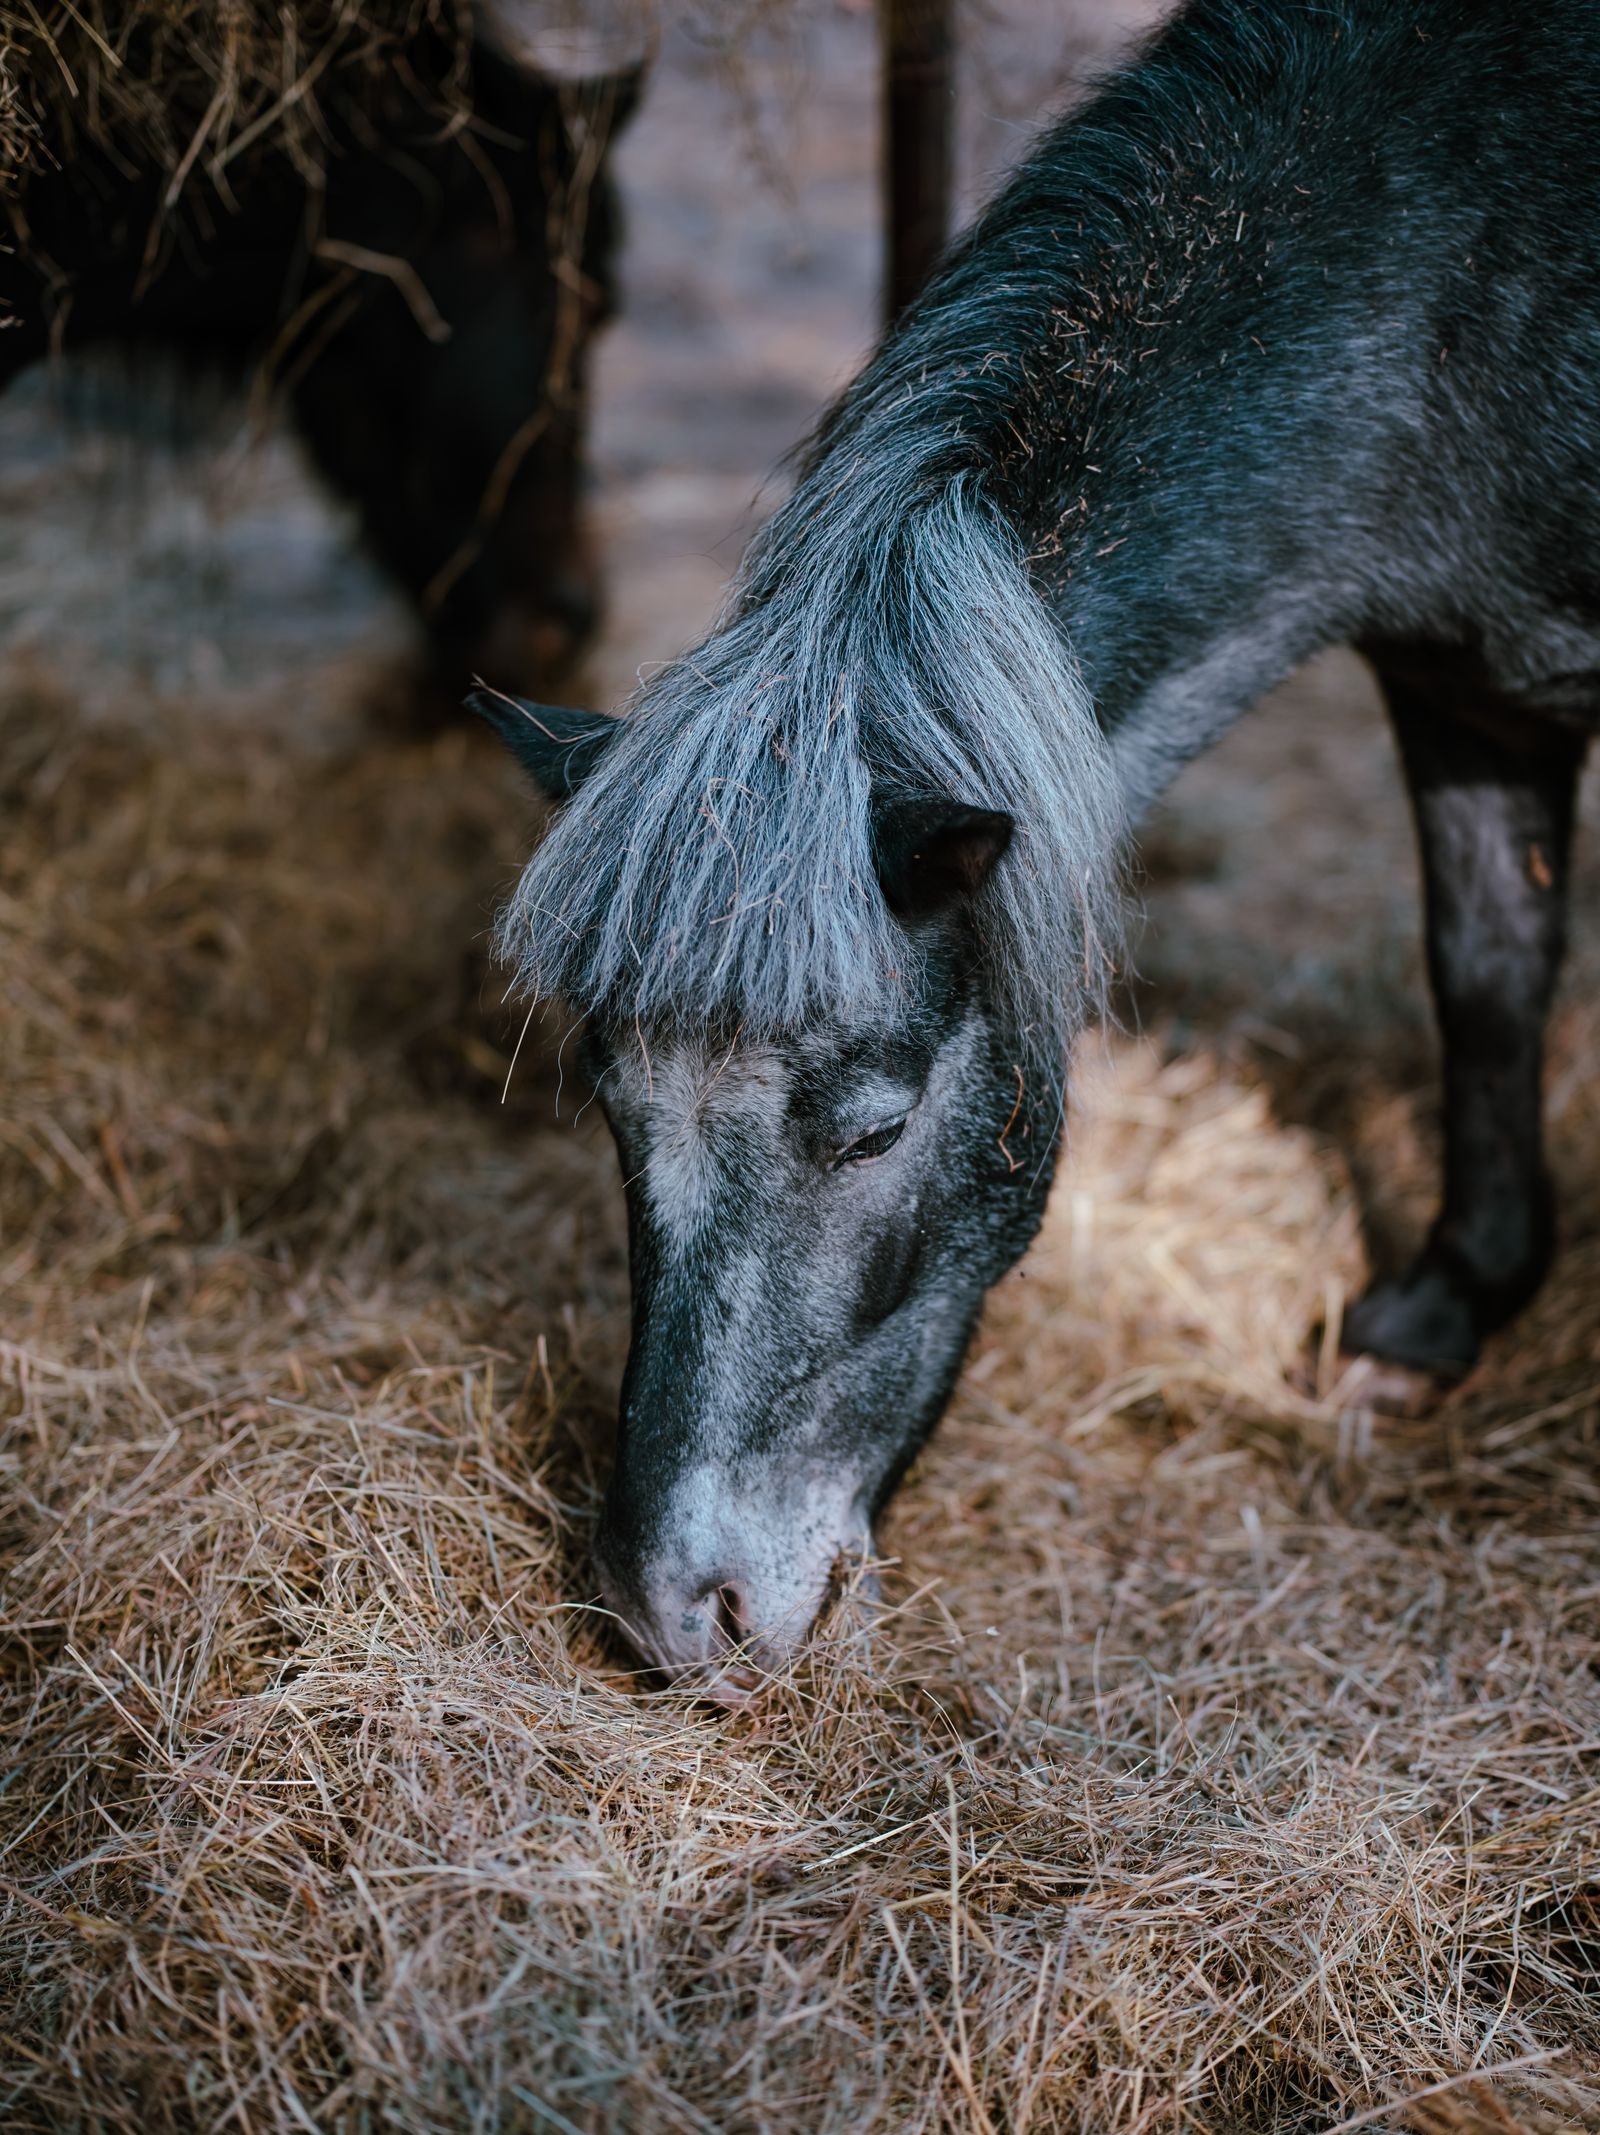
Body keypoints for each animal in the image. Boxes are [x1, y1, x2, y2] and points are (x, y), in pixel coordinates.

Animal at [479, 0, 1600, 1690]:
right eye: (612, 1106)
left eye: (873, 1127)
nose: (681, 1612)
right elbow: (1486, 968)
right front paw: (1442, 1313)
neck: (1479, 255)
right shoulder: (1468, 689)